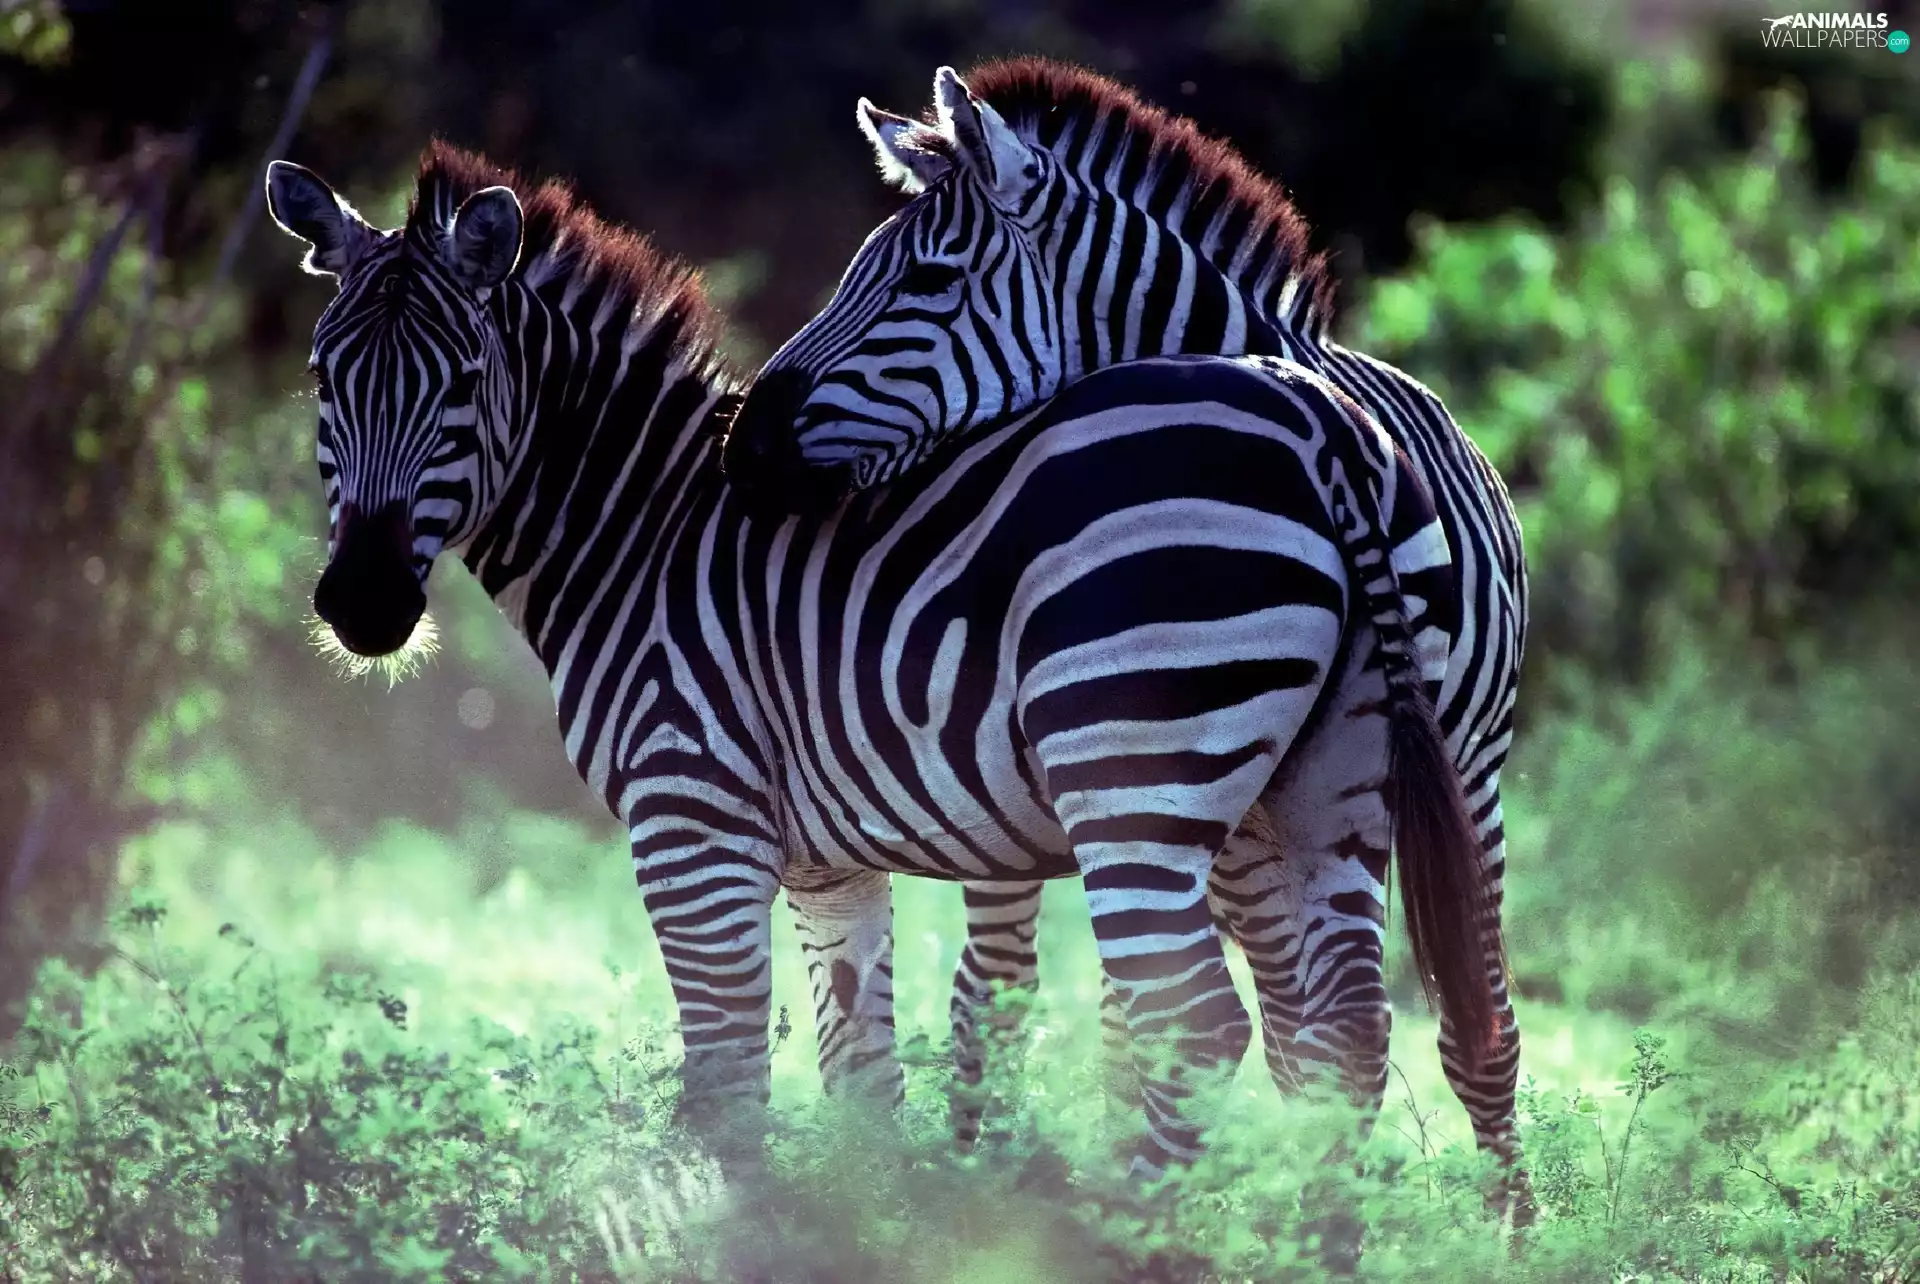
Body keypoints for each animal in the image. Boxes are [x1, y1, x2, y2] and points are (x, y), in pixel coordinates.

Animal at [265, 141, 1500, 1181]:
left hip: (1134, 774)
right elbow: (860, 1080)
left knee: (1196, 1021)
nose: (363, 605)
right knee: (1343, 1032)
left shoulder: (691, 823)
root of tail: (1319, 417)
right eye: (323, 380)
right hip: (1332, 782)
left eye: (463, 382)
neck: (643, 531)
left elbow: (726, 1089)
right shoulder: (828, 869)